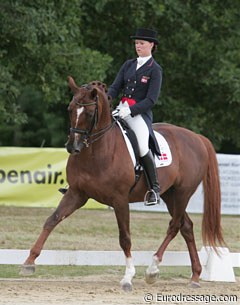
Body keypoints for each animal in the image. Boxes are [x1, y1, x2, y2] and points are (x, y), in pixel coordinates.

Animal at [19, 76, 224, 290]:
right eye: (70, 109)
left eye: (90, 113)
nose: (72, 147)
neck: (97, 151)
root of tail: (197, 138)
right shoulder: (77, 194)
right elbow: (52, 219)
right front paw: (29, 262)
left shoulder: (120, 200)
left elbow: (125, 237)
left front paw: (128, 278)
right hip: (170, 196)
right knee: (186, 227)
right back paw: (195, 276)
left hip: (183, 192)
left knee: (174, 226)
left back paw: (152, 270)